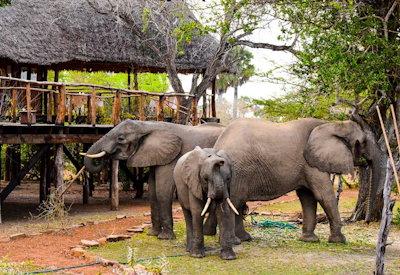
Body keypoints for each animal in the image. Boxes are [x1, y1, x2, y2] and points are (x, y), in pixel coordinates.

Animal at [83, 119, 225, 240]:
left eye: (121, 138)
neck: (147, 125)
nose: (104, 157)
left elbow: (162, 191)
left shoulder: (171, 156)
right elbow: (152, 191)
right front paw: (153, 234)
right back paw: (208, 233)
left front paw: (164, 238)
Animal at [209, 118, 382, 248]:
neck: (330, 124)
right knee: (234, 202)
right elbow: (324, 195)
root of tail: (219, 144)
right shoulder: (311, 165)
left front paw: (309, 240)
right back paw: (234, 242)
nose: (367, 221)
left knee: (238, 203)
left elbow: (308, 198)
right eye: (363, 142)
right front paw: (339, 241)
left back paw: (245, 239)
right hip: (237, 170)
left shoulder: (307, 165)